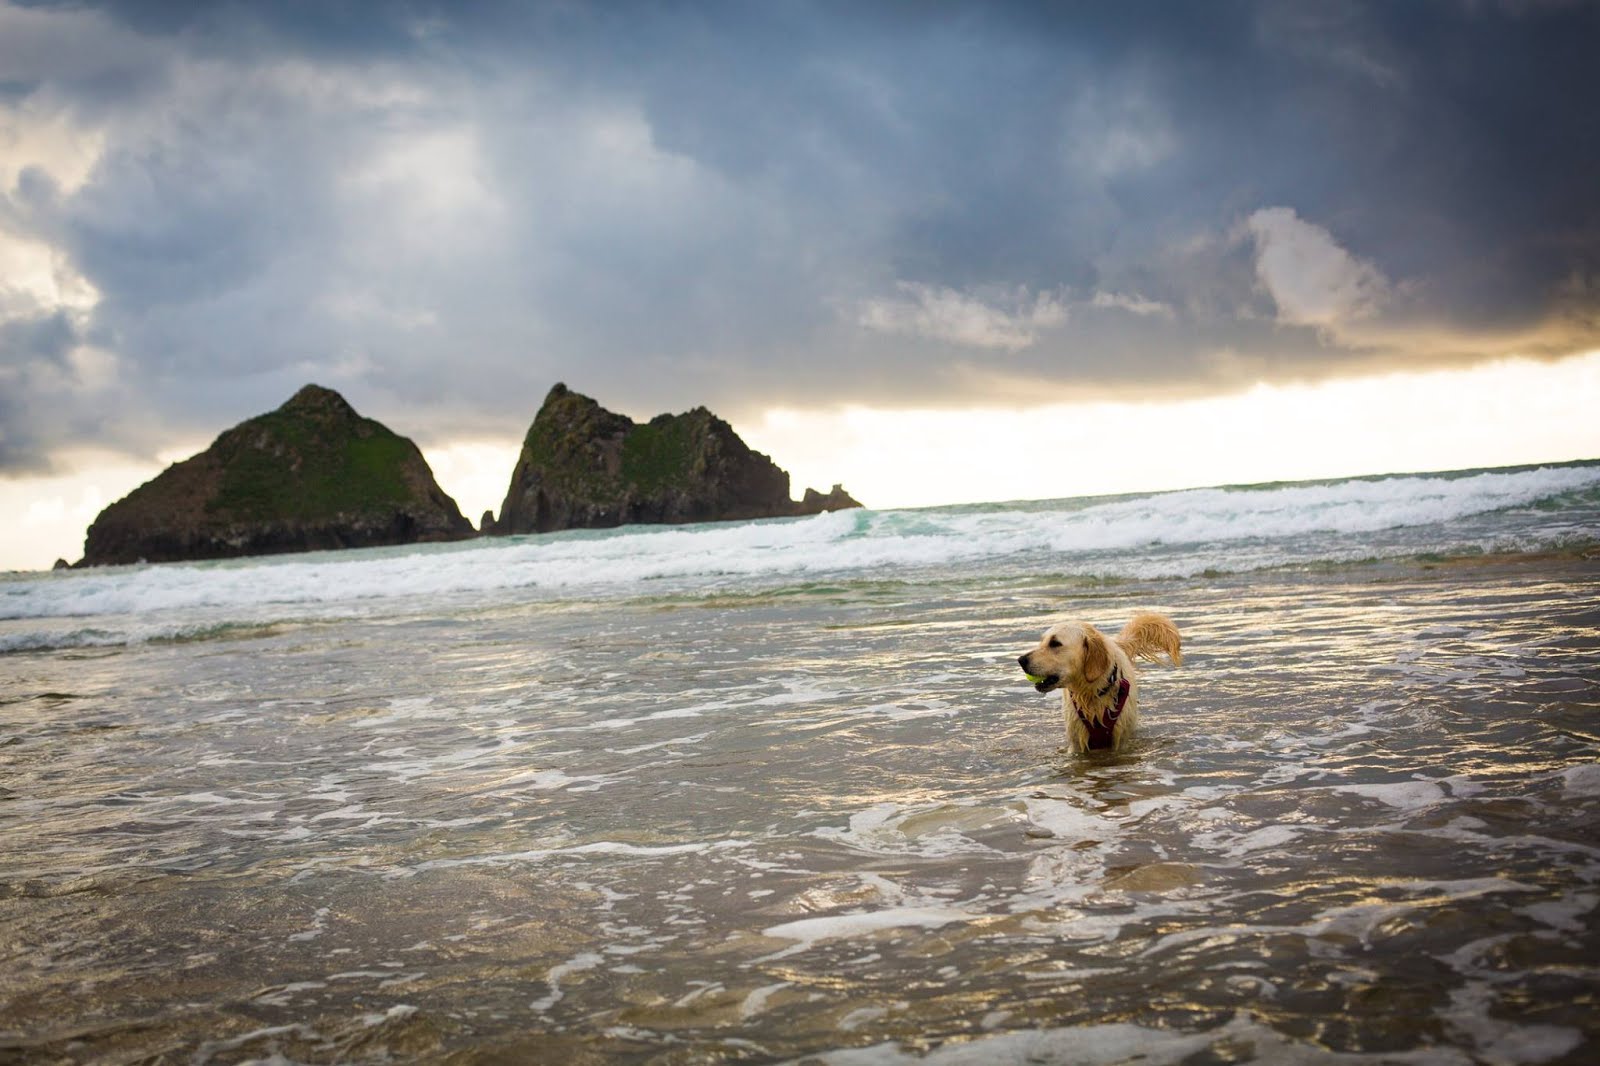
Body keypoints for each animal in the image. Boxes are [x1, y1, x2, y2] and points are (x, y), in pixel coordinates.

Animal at [1017, 611, 1184, 752]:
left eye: (1055, 643)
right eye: (1042, 641)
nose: (1021, 660)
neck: (1093, 692)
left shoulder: (1120, 739)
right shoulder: (1076, 739)